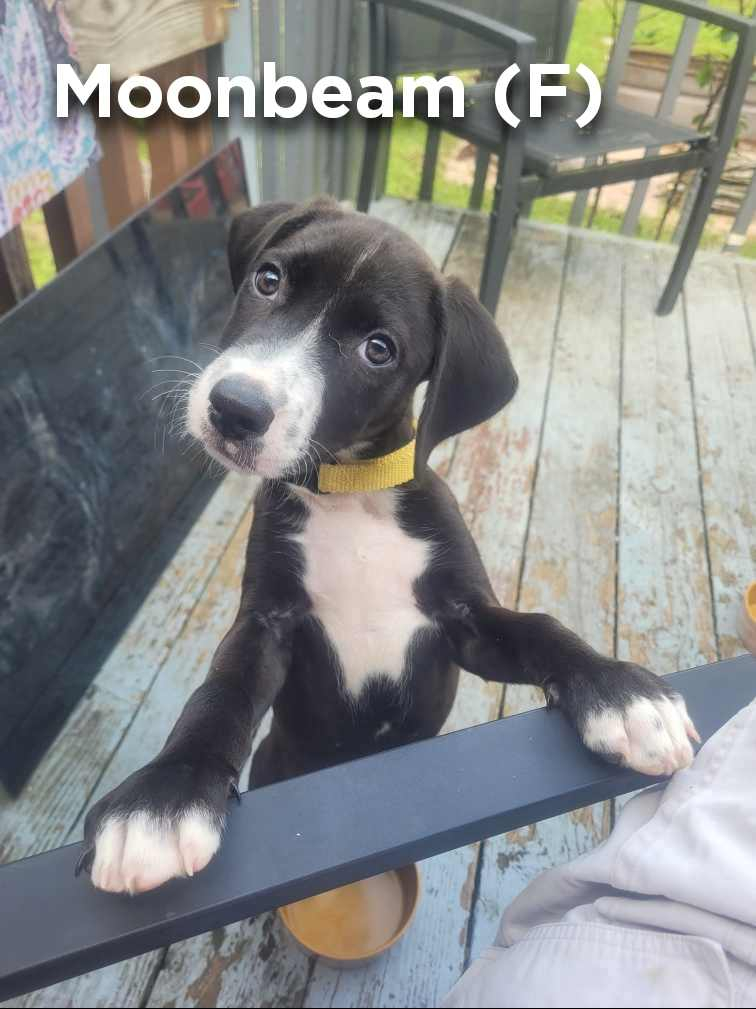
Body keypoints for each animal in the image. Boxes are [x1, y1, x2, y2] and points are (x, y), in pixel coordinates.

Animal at [79, 196, 698, 891]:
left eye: (378, 349)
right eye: (268, 280)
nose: (234, 408)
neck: (352, 495)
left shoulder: (466, 625)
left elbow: (540, 626)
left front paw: (622, 694)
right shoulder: (269, 623)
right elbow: (220, 693)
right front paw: (164, 796)